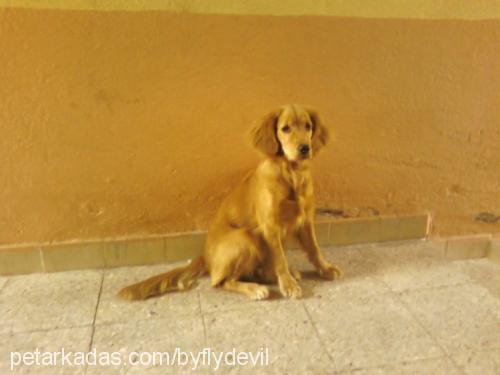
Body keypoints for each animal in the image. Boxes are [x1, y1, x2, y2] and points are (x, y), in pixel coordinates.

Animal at [119, 104, 342, 302]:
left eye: (308, 126)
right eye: (285, 128)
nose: (304, 148)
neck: (291, 174)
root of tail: (205, 257)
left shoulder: (305, 220)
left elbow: (314, 248)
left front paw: (326, 268)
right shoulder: (270, 226)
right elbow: (280, 258)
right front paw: (287, 284)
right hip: (245, 237)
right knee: (221, 281)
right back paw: (255, 289)